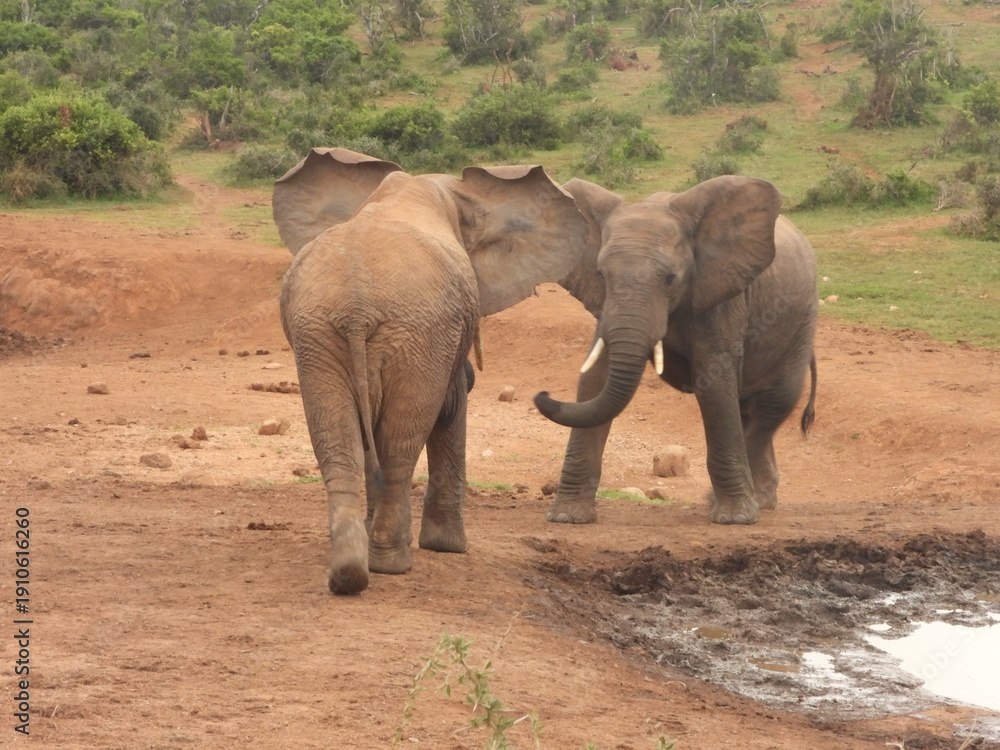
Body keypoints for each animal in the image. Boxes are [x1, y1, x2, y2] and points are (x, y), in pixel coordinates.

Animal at [273, 148, 589, 594]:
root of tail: (356, 306)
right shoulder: (444, 336)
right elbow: (453, 405)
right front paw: (447, 547)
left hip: (321, 334)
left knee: (338, 440)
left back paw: (351, 572)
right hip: (413, 335)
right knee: (400, 444)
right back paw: (390, 564)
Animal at [534, 175, 818, 527]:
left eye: (671, 278)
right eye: (601, 275)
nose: (542, 393)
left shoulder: (720, 294)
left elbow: (714, 383)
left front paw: (734, 519)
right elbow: (596, 381)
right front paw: (567, 517)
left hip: (802, 317)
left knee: (774, 404)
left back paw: (733, 502)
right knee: (749, 409)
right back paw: (761, 501)